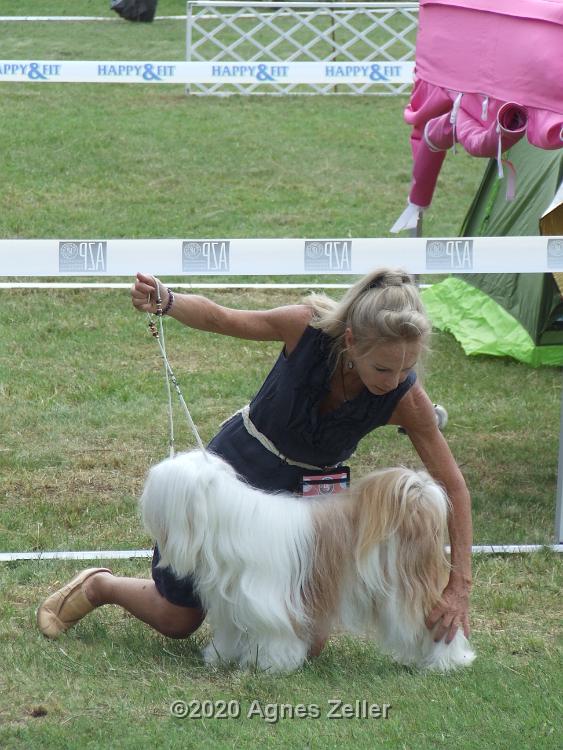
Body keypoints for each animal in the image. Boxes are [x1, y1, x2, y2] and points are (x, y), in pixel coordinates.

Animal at [141, 452, 476, 676]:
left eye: (160, 489)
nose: (143, 501)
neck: (225, 522)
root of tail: (418, 497)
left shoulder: (270, 603)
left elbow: (276, 636)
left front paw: (271, 665)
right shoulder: (231, 606)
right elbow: (231, 633)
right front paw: (220, 657)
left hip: (406, 591)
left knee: (435, 626)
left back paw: (447, 661)